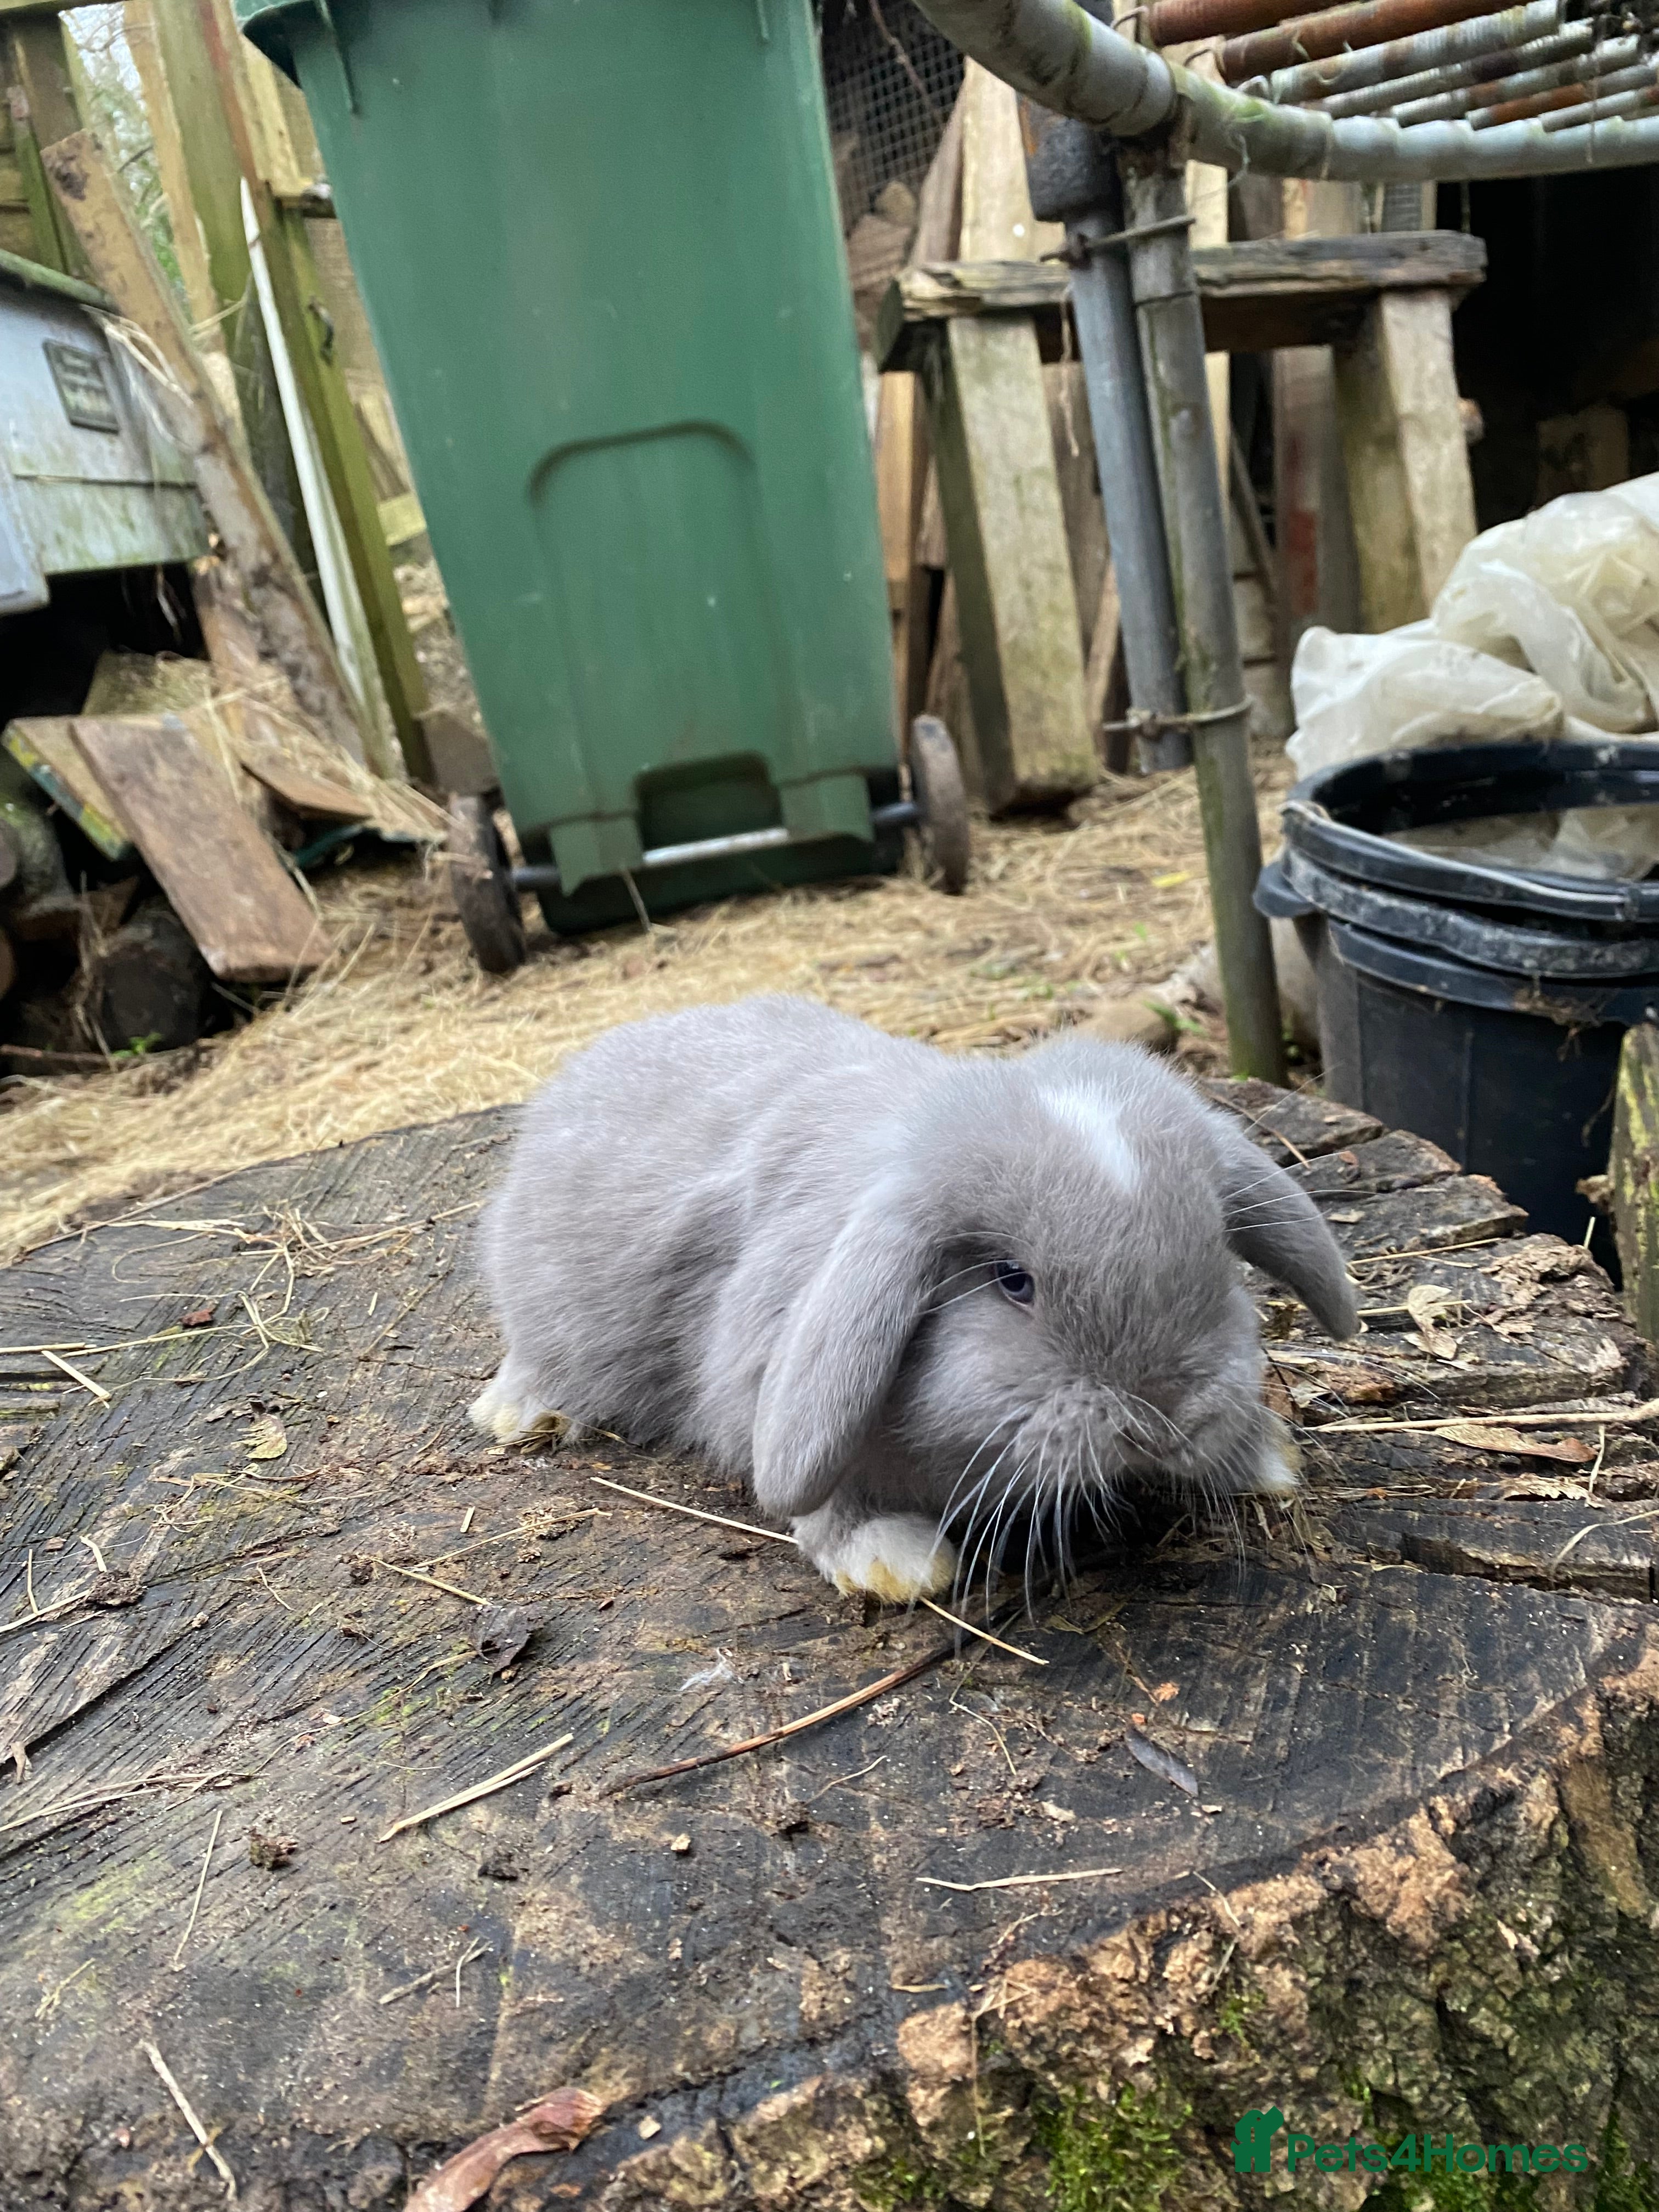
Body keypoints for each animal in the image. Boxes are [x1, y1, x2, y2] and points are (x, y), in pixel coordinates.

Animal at [469, 996, 1358, 1603]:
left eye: (1217, 1251)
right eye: (1012, 1281)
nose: (1165, 1415)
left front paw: (1266, 1457)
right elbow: (830, 1503)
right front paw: (896, 1563)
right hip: (547, 1313)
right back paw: (523, 1417)